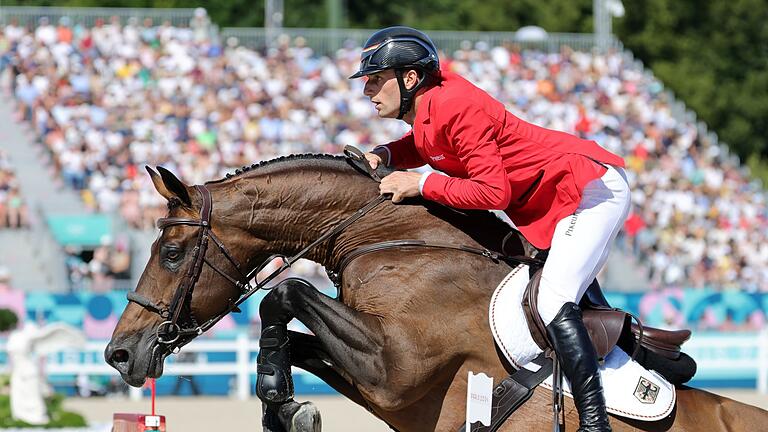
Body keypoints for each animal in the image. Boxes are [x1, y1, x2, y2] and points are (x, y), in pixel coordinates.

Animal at [106, 156, 768, 432]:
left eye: (171, 254)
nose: (119, 354)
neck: (388, 238)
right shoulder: (389, 384)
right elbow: (295, 337)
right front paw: (283, 403)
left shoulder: (395, 368)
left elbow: (285, 294)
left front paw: (277, 393)